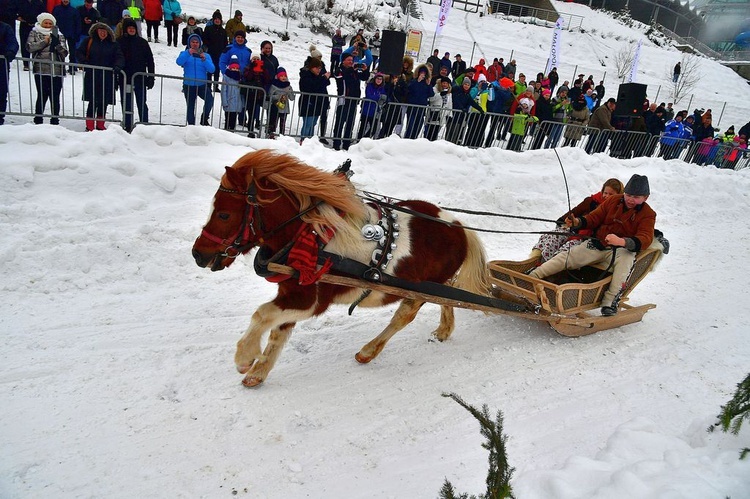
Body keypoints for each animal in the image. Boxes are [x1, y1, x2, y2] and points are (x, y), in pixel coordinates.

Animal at [191, 150, 490, 388]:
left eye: (224, 214)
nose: (198, 254)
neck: (309, 234)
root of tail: (460, 227)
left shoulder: (311, 300)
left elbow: (262, 315)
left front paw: (245, 357)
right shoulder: (292, 291)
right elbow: (277, 330)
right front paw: (259, 372)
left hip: (416, 291)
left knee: (405, 315)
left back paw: (368, 351)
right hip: (434, 285)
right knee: (448, 295)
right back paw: (444, 330)